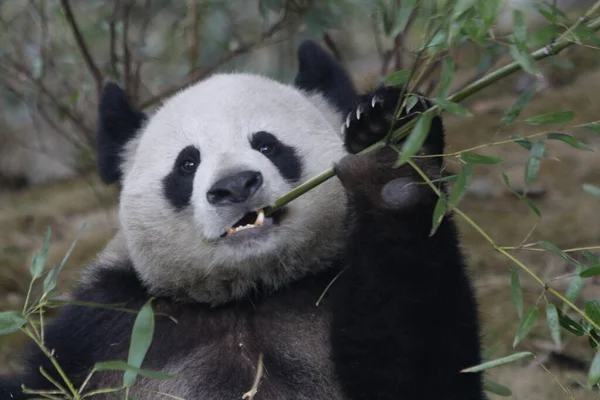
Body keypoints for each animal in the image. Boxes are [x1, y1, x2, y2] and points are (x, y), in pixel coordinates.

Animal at [0, 40, 486, 400]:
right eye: (187, 163)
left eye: (267, 144)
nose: (235, 186)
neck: (245, 295)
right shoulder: (105, 334)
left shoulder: (324, 293)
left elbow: (419, 362)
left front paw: (390, 158)